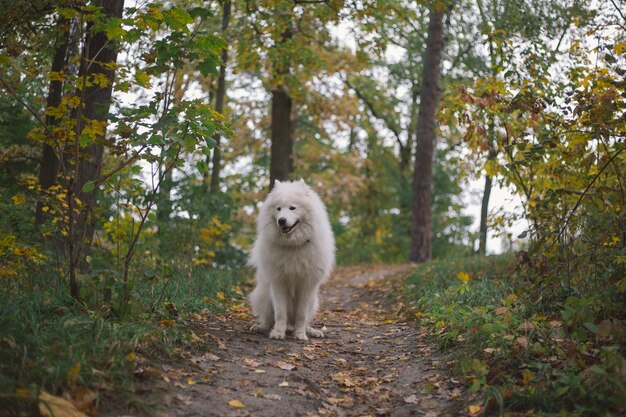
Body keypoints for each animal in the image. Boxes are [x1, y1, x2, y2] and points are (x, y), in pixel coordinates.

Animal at [247, 179, 336, 338]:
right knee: (269, 319)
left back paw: (310, 331)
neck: (293, 245)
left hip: (313, 301)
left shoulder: (306, 286)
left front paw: (300, 335)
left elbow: (301, 315)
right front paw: (277, 333)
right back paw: (262, 327)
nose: (281, 221)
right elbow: (280, 313)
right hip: (264, 296)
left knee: (303, 320)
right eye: (278, 209)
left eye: (292, 208)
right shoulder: (278, 283)